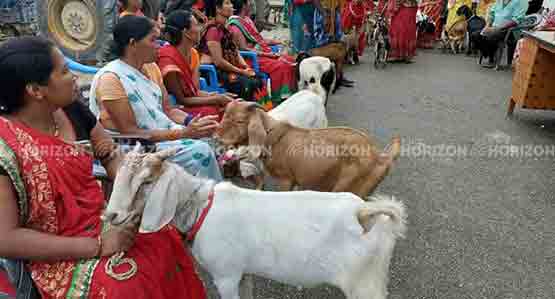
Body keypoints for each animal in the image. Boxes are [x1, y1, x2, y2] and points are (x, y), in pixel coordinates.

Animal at [103, 146, 408, 299]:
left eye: (146, 182)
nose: (111, 215)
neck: (201, 207)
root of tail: (365, 212)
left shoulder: (225, 276)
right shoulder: (243, 272)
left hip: (363, 285)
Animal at [215, 101, 402, 199]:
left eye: (240, 121)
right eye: (224, 116)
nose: (217, 137)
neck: (272, 136)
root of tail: (382, 157)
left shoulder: (285, 179)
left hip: (350, 187)